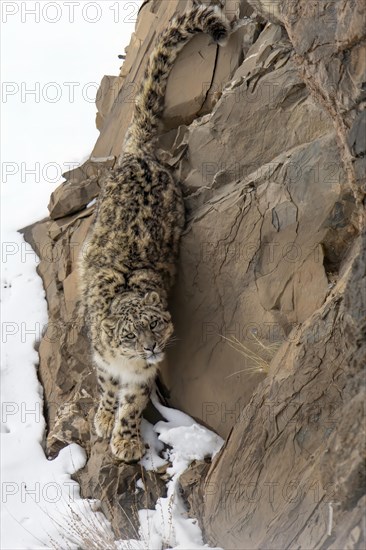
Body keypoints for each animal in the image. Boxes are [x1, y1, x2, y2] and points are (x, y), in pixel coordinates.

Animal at [79, 3, 230, 466]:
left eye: (155, 323)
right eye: (130, 334)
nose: (150, 347)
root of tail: (139, 157)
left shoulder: (143, 375)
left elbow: (132, 403)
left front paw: (126, 439)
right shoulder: (106, 363)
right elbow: (107, 390)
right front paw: (103, 418)